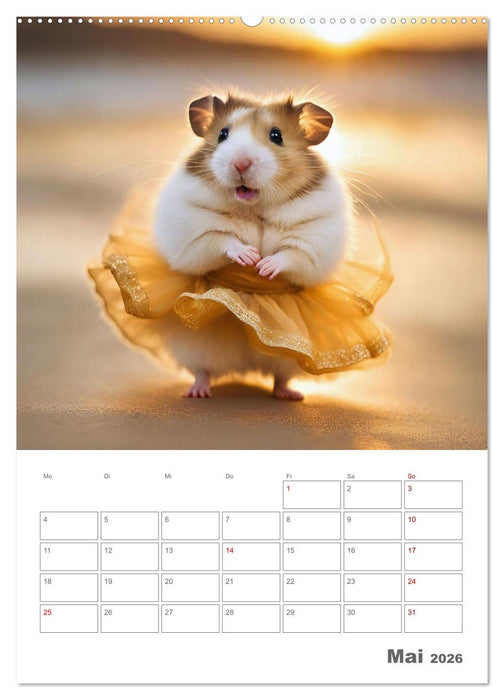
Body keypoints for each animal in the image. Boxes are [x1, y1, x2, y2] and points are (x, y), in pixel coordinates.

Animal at [154, 92, 352, 400]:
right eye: (222, 134)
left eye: (276, 136)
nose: (241, 164)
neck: (253, 207)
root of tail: (244, 365)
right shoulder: (193, 231)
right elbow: (222, 240)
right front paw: (249, 258)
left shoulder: (314, 240)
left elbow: (291, 253)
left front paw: (264, 267)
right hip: (195, 345)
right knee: (202, 369)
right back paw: (198, 391)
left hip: (290, 358)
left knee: (281, 376)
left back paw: (290, 394)